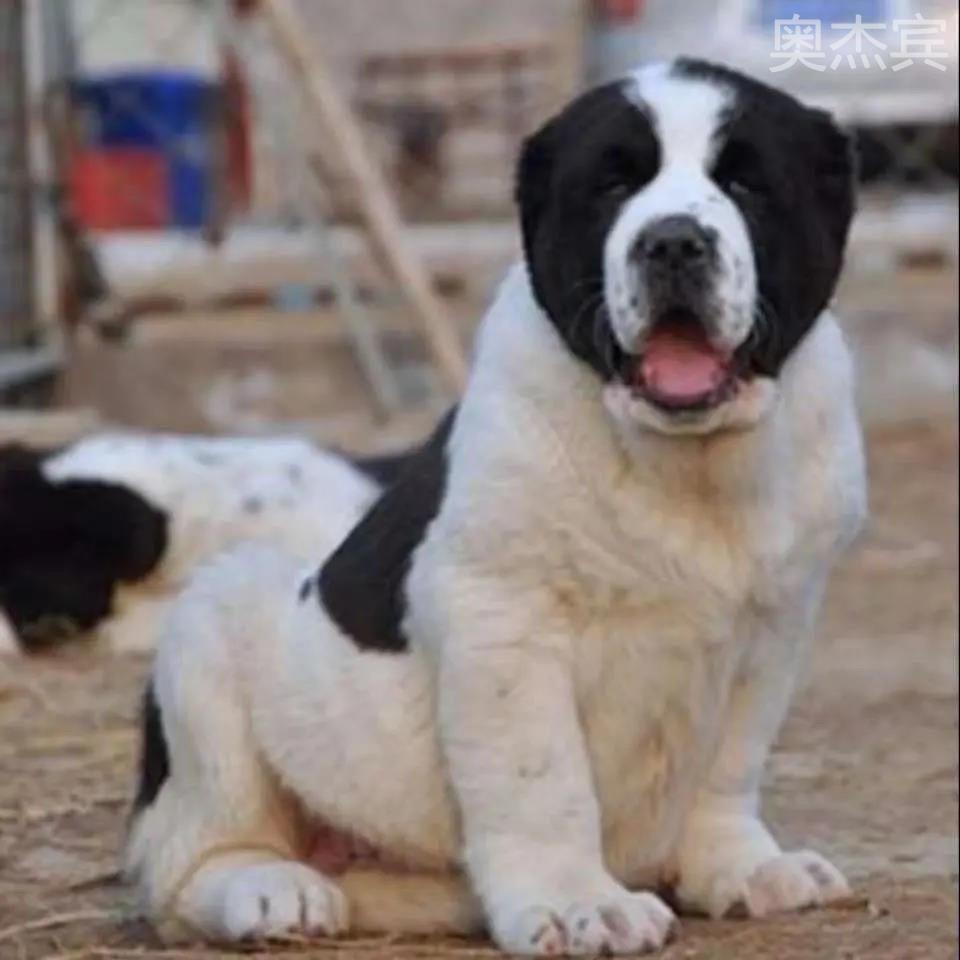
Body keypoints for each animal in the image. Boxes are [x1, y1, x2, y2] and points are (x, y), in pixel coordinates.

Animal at [124, 63, 868, 956]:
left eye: (748, 184)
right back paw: (271, 890)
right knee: (192, 860)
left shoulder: (774, 626)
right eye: (613, 186)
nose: (673, 242)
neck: (685, 462)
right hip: (216, 621)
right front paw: (579, 903)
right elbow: (542, 779)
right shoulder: (504, 618)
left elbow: (729, 764)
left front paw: (742, 865)